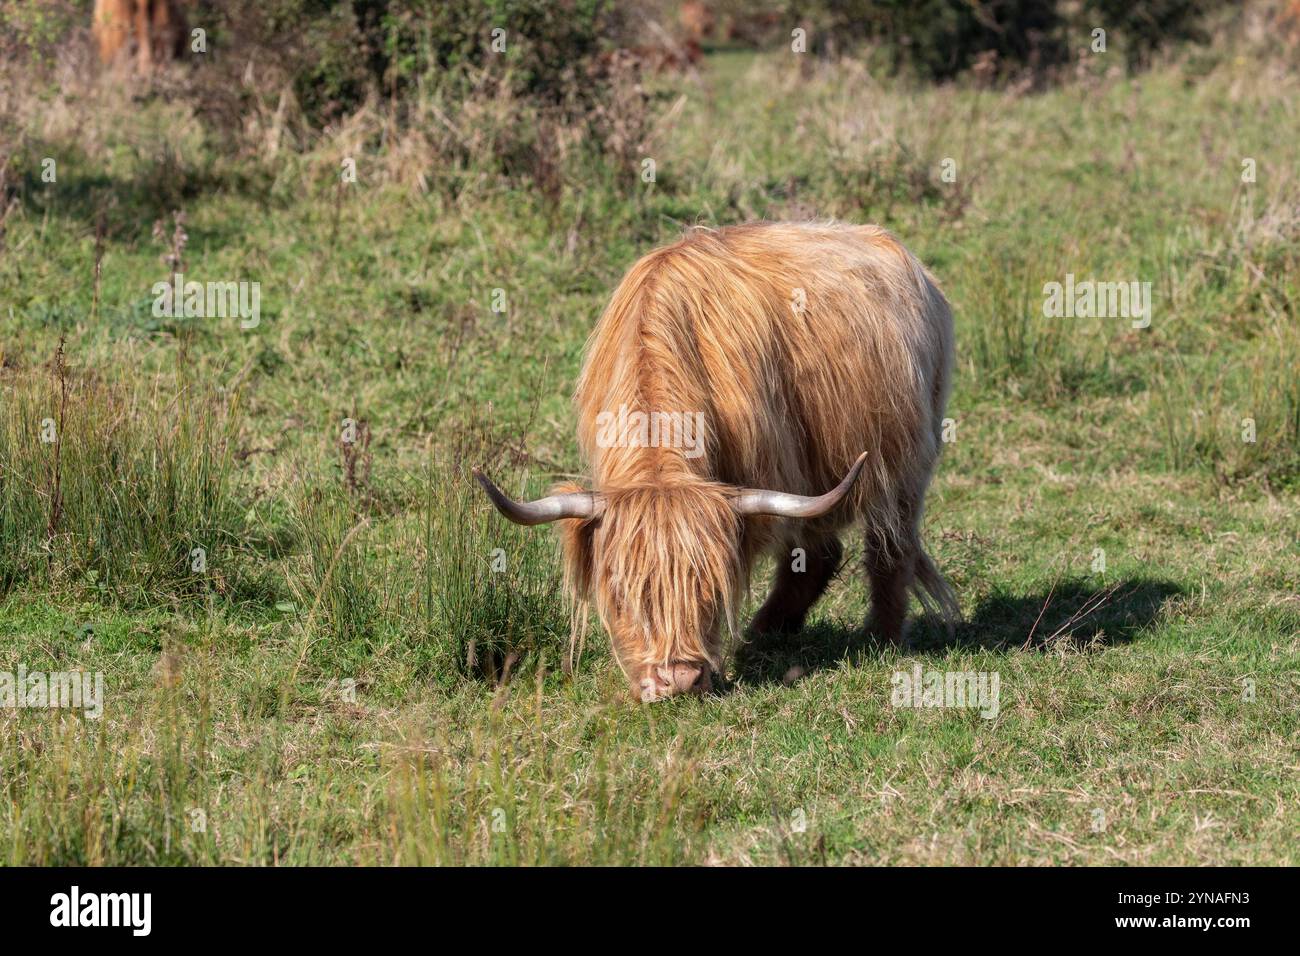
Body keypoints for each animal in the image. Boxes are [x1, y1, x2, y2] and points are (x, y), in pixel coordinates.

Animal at [475, 223, 956, 702]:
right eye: (623, 594)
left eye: (709, 589)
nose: (677, 681)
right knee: (821, 553)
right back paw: (766, 632)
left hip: (905, 461)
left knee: (889, 547)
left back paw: (880, 637)